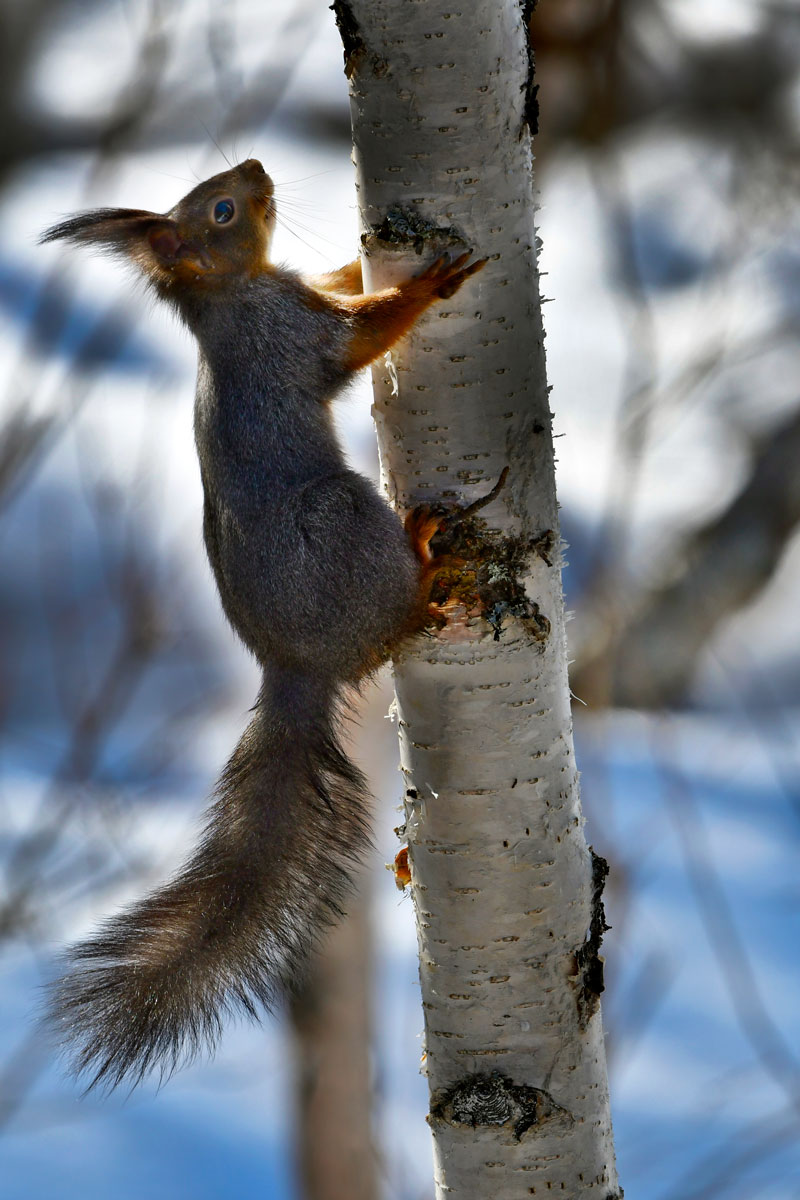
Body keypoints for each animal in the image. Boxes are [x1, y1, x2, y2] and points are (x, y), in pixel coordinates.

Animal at [40, 158, 487, 1089]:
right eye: (220, 209)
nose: (257, 168)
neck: (233, 294)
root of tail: (295, 666)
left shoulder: (298, 297)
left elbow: (339, 286)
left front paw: (363, 258)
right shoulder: (288, 339)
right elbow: (356, 337)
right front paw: (425, 284)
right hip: (344, 519)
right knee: (392, 622)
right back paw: (426, 564)